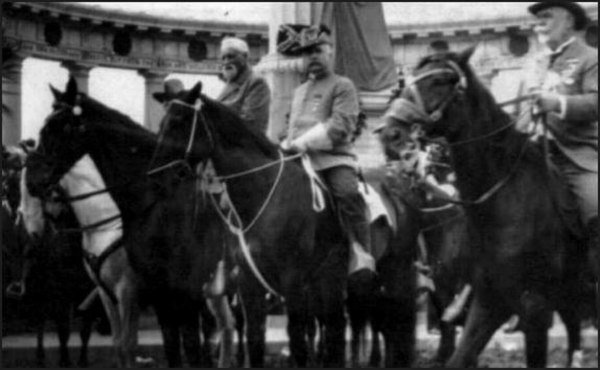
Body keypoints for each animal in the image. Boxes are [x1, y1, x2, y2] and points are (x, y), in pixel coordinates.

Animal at [24, 78, 229, 368]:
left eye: (61, 125)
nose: (33, 180)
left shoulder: (137, 292)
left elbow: (148, 346)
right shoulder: (124, 295)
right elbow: (129, 346)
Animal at [384, 48, 592, 368]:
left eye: (441, 80)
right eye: (408, 80)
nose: (390, 134)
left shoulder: (535, 310)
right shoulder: (489, 300)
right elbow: (460, 355)